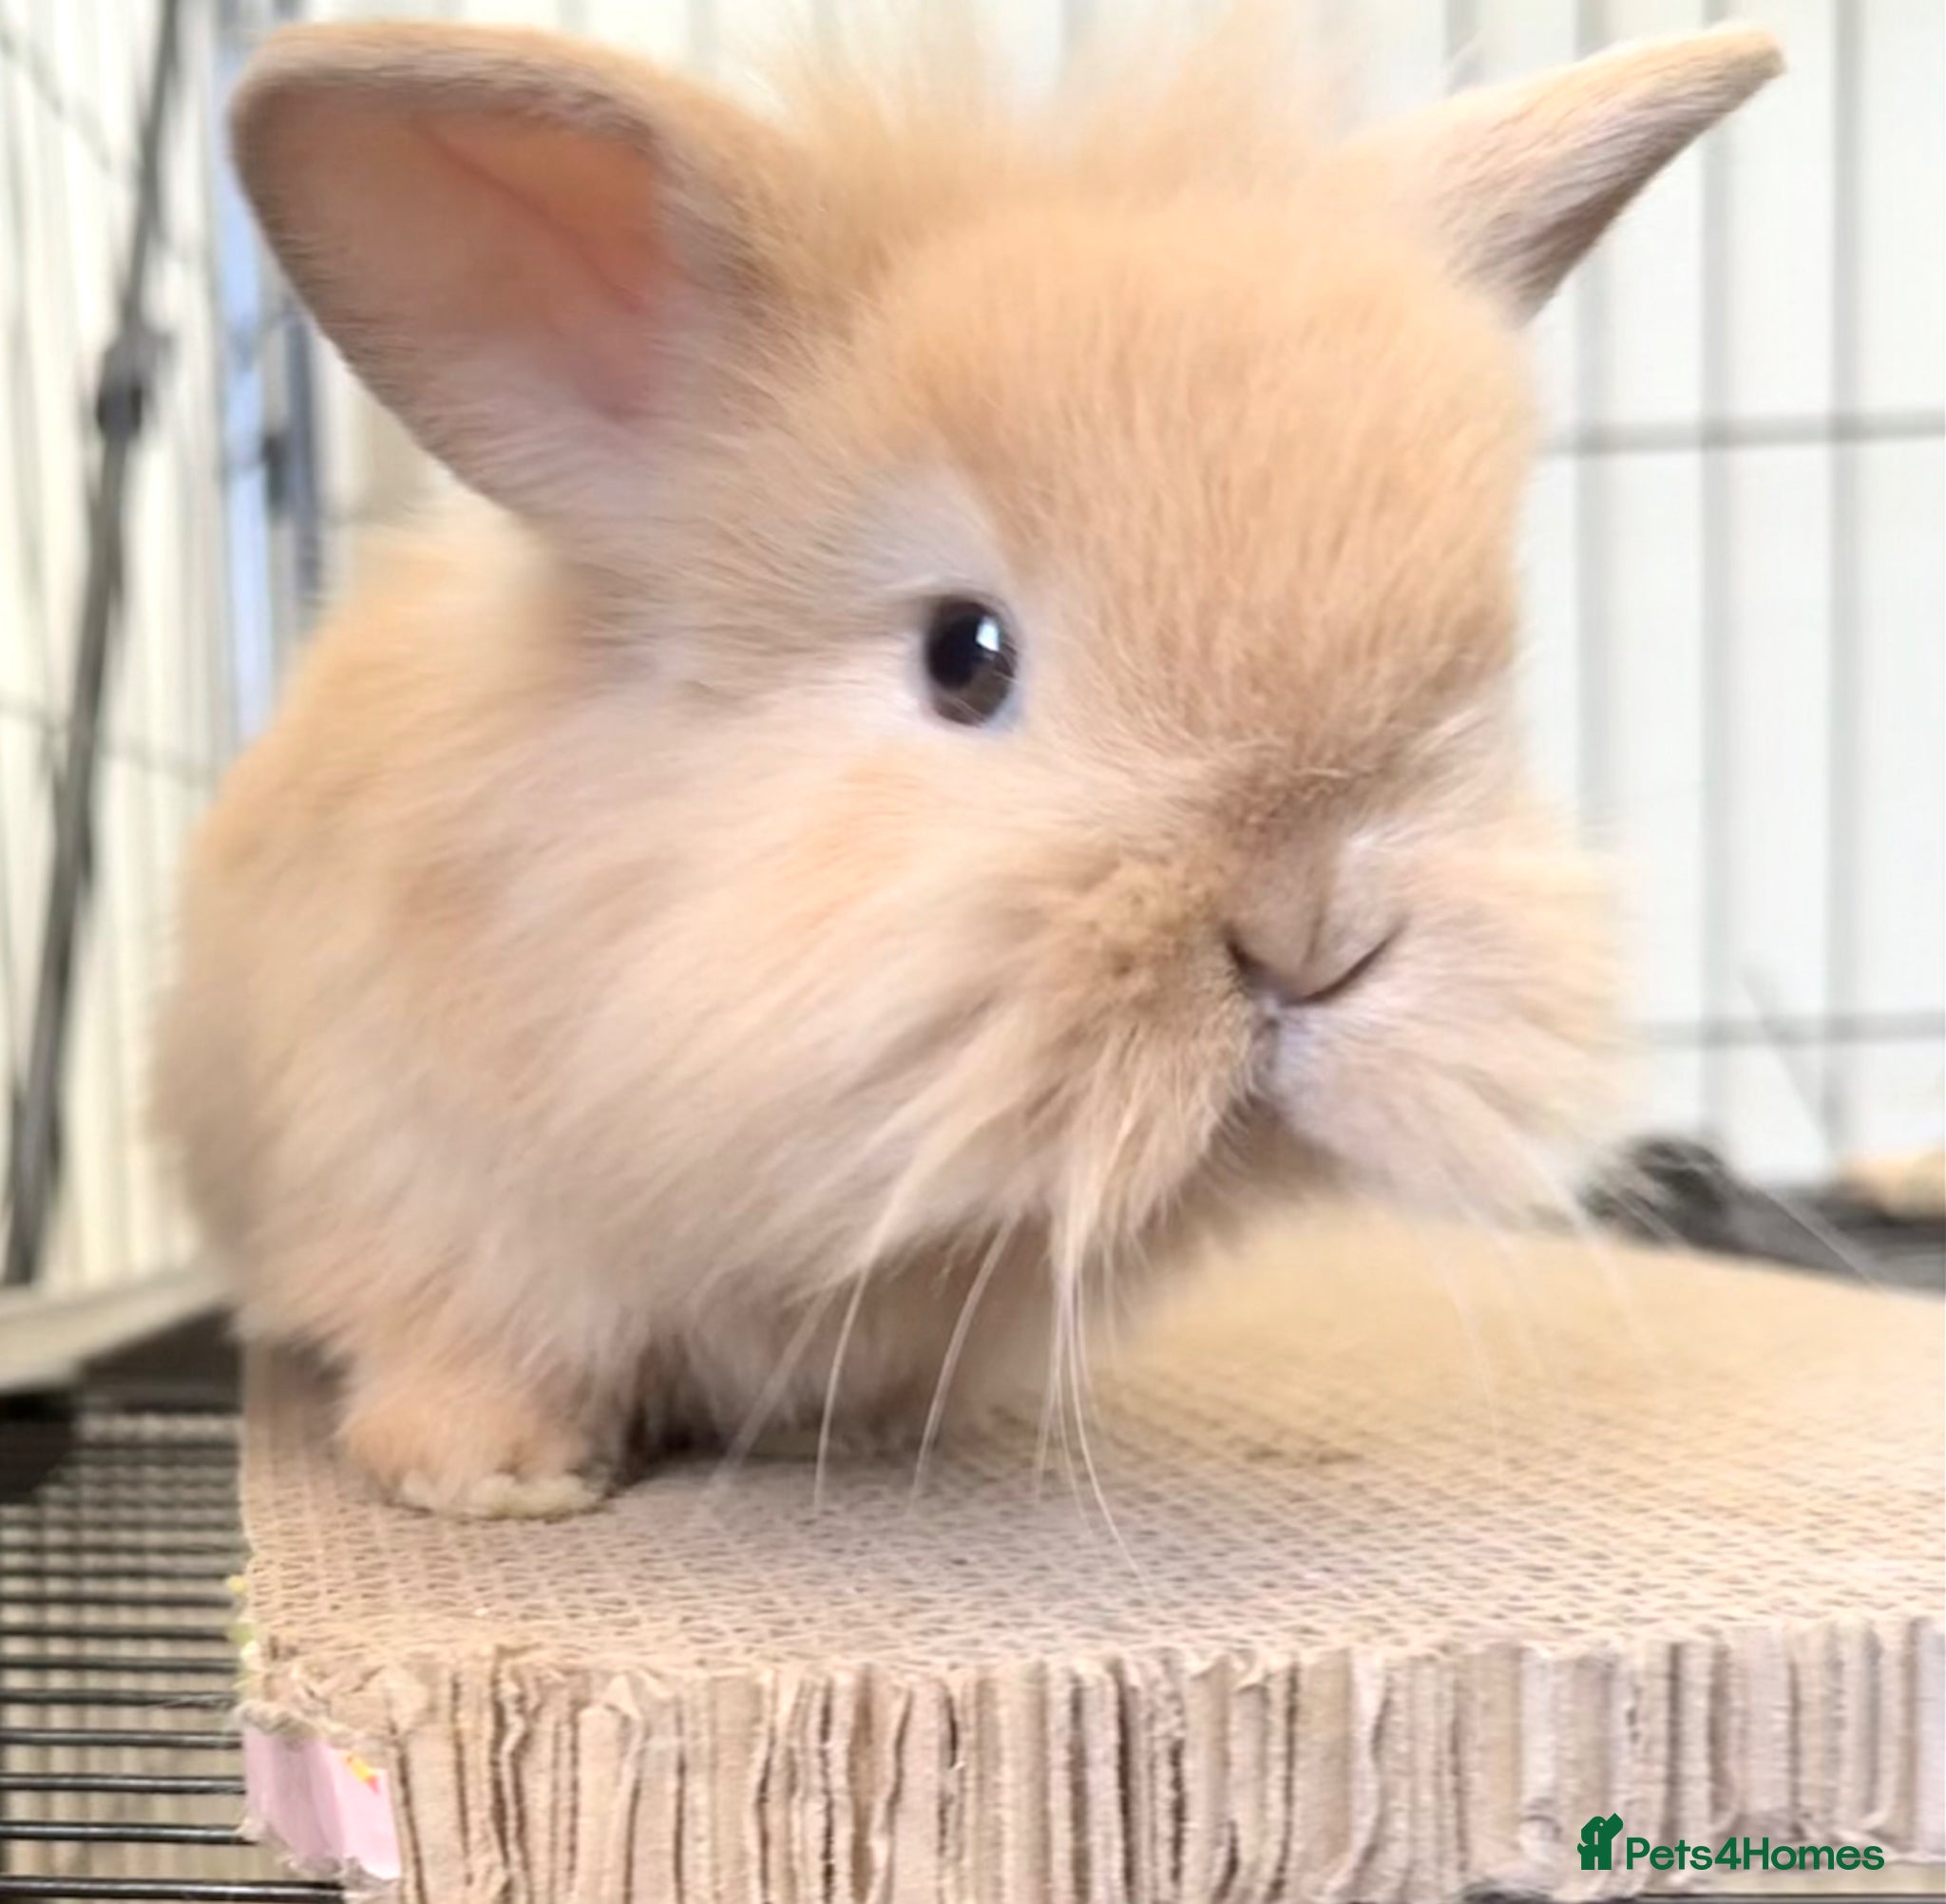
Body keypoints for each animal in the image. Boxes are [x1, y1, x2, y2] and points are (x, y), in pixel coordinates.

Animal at [153, 8, 1782, 1517]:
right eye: (965, 655)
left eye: (1486, 676)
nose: (1310, 938)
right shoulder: (418, 1194)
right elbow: (464, 1347)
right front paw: (496, 1481)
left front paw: (863, 1433)